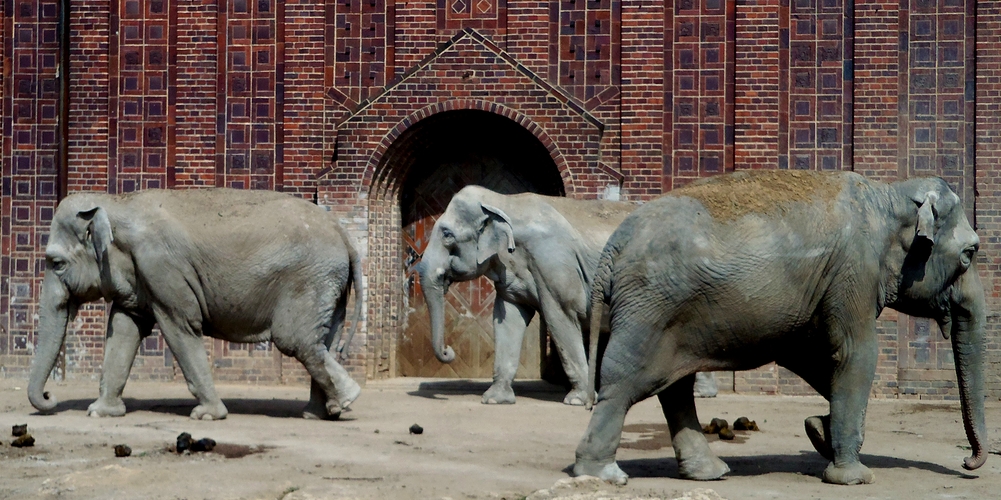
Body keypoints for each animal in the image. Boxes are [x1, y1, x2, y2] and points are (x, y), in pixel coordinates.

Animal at [26, 188, 364, 422]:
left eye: (56, 263)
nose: (49, 396)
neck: (117, 202)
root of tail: (344, 234)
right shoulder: (139, 275)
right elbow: (125, 327)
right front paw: (100, 412)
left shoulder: (161, 267)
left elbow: (181, 326)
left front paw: (208, 416)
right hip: (330, 285)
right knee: (322, 341)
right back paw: (322, 412)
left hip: (310, 279)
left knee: (296, 340)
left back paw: (347, 399)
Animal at [412, 186, 632, 404]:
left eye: (447, 234)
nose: (448, 351)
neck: (503, 202)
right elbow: (508, 318)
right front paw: (494, 399)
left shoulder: (553, 261)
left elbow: (560, 316)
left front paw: (578, 400)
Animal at [576, 171, 988, 484]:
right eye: (969, 254)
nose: (967, 463)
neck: (889, 194)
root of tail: (612, 246)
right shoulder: (854, 270)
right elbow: (854, 354)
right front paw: (853, 476)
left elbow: (816, 357)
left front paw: (818, 431)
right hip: (649, 308)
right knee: (623, 383)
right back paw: (602, 475)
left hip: (667, 314)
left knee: (674, 389)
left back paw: (710, 472)